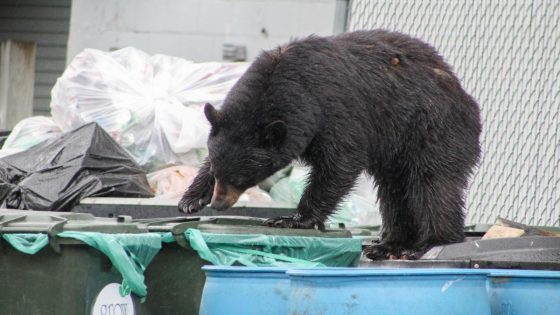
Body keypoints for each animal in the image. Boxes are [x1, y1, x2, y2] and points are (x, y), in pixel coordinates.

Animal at [179, 30, 482, 260]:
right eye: (217, 172)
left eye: (242, 178)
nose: (218, 204)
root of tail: (463, 94)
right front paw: (191, 199)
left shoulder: (336, 111)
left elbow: (339, 163)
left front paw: (291, 219)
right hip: (397, 153)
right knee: (394, 194)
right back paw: (387, 245)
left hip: (431, 131)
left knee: (432, 185)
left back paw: (428, 243)